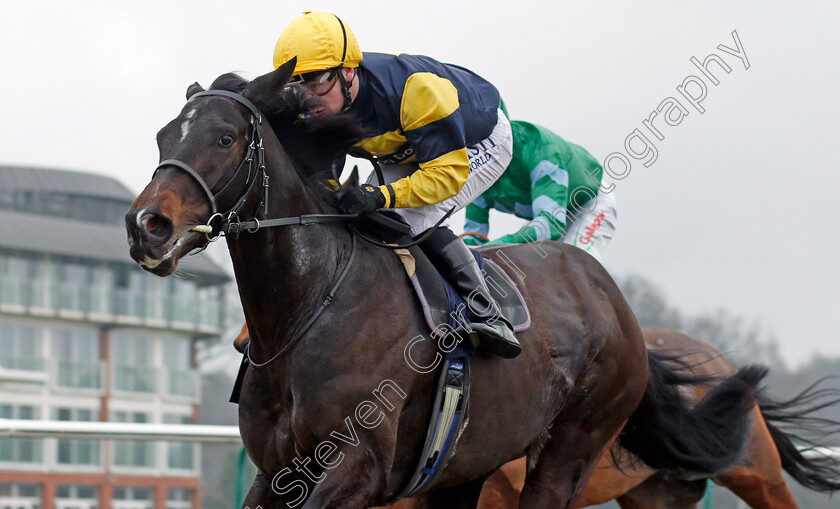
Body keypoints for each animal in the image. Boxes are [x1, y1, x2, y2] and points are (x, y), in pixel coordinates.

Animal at [126, 61, 768, 506]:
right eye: (162, 137)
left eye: (225, 138)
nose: (147, 226)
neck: (308, 309)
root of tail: (616, 303)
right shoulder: (277, 473)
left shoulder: (356, 470)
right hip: (465, 470)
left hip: (570, 453)